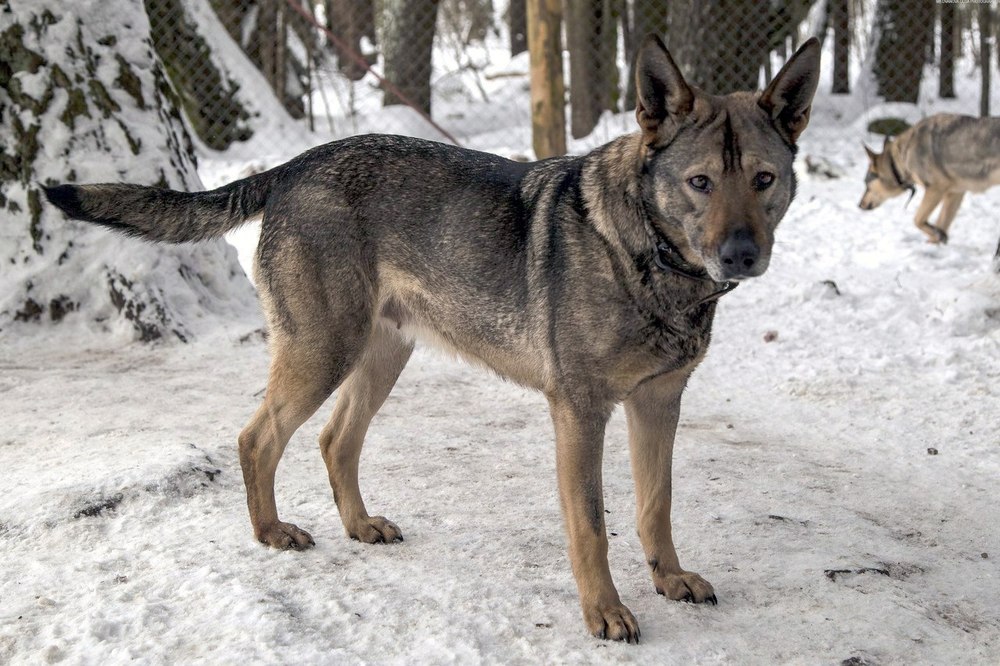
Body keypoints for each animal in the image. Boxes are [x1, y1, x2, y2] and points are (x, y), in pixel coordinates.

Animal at [856, 111, 1000, 262]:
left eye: (865, 184)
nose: (859, 205)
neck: (901, 159)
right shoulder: (955, 193)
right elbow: (941, 222)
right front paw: (935, 244)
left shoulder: (935, 189)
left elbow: (917, 220)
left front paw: (937, 237)